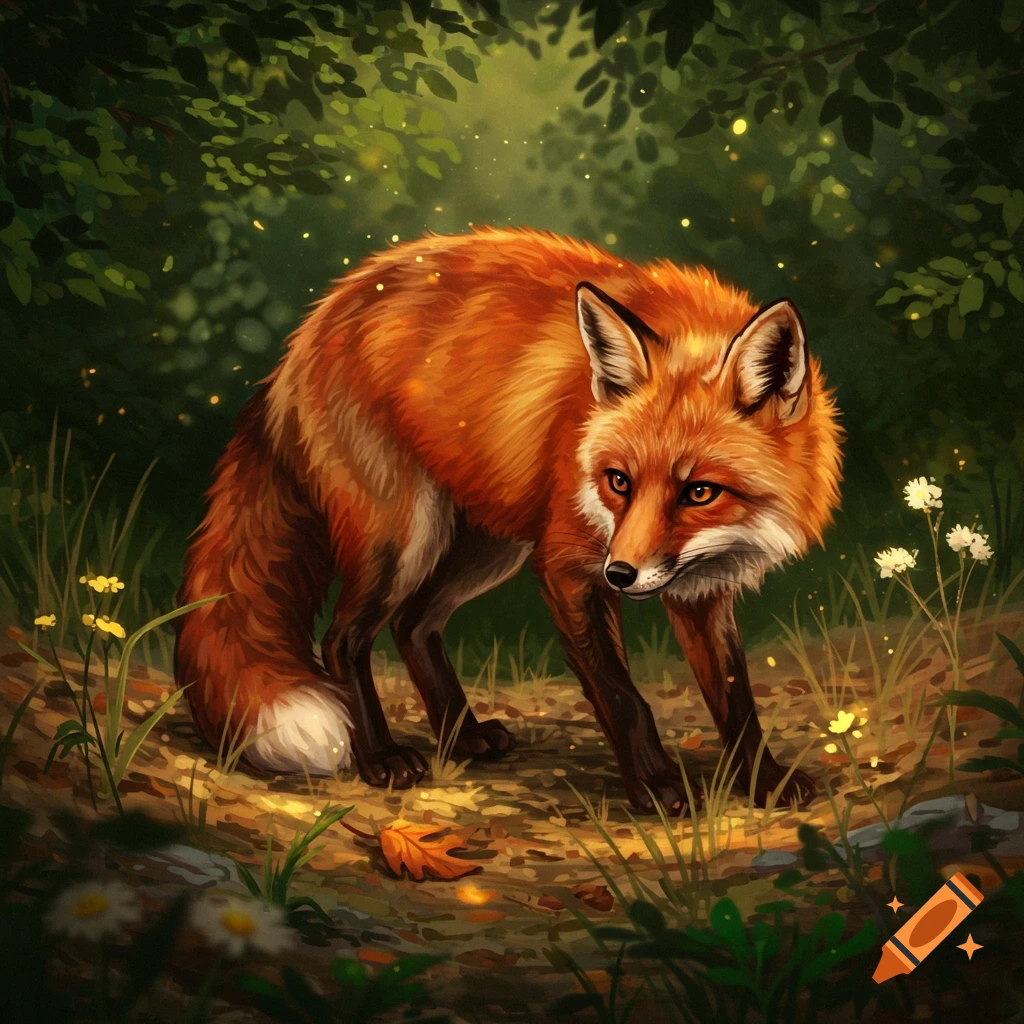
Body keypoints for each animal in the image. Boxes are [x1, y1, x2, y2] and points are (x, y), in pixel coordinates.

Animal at [175, 227, 842, 815]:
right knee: (342, 641)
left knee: (414, 626)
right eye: (619, 482)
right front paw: (656, 790)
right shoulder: (566, 568)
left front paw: (765, 782)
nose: (621, 574)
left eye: (700, 492)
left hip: (485, 547)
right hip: (405, 539)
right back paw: (382, 758)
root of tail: (308, 329)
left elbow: (735, 700)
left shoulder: (700, 589)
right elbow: (625, 699)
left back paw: (463, 737)